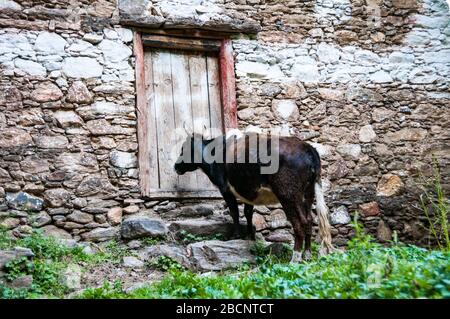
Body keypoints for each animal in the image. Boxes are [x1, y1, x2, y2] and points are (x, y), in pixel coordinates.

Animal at [174, 131, 336, 262]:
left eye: (184, 149)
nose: (175, 166)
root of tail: (308, 147)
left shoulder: (225, 189)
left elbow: (234, 212)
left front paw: (235, 236)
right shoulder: (249, 192)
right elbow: (248, 213)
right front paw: (249, 237)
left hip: (288, 194)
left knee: (300, 222)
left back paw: (295, 259)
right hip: (308, 193)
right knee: (310, 219)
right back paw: (307, 255)